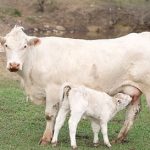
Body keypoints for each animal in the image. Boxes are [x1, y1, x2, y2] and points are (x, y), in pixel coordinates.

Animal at [0, 25, 149, 144]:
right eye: (6, 45)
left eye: (24, 46)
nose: (14, 65)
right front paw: (52, 135)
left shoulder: (53, 89)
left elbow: (50, 114)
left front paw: (46, 139)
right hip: (133, 90)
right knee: (132, 112)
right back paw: (119, 138)